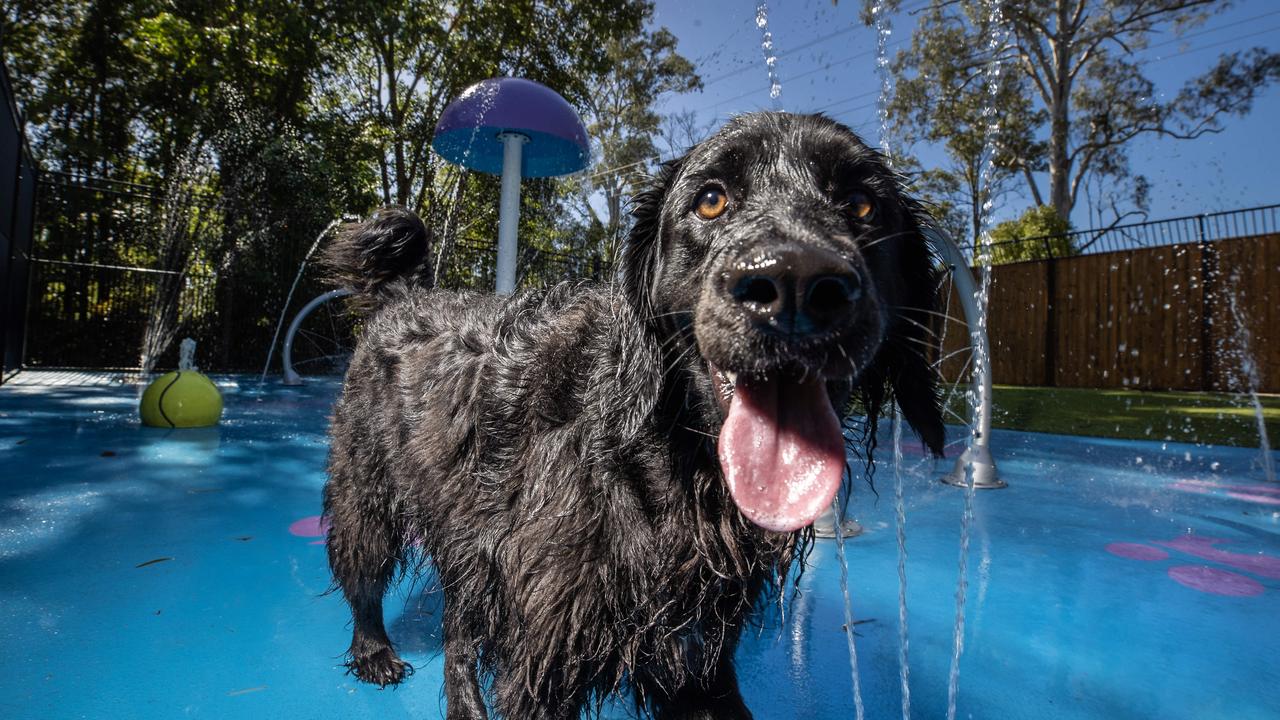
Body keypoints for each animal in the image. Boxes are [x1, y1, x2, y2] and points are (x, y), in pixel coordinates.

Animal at [322, 109, 942, 712]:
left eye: (861, 204)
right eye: (711, 199)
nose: (796, 282)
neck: (665, 459)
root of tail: (402, 296)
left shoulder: (696, 654)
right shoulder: (544, 651)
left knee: (458, 625)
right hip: (368, 495)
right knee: (364, 578)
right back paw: (374, 651)